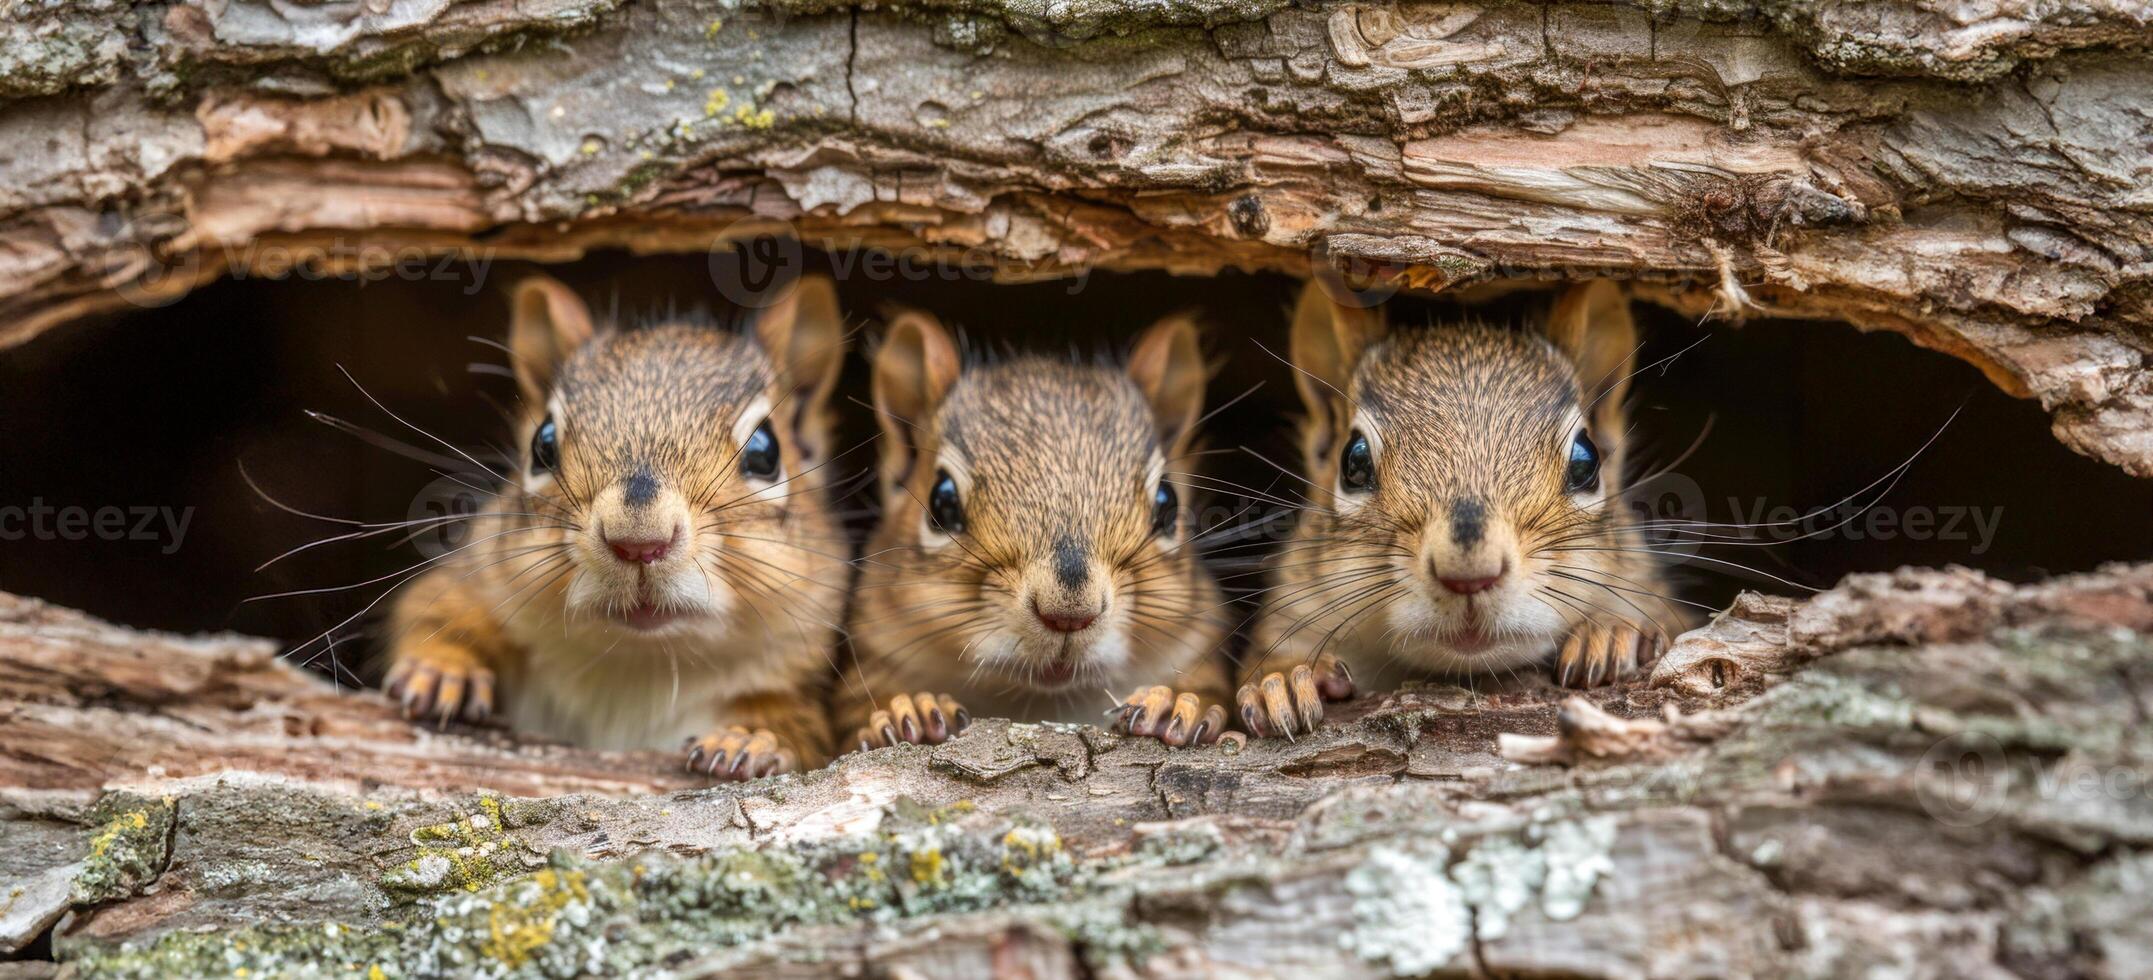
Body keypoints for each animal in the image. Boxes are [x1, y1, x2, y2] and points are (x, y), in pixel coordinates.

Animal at [383, 274, 852, 784]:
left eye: (767, 453)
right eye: (542, 444)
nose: (639, 542)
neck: (639, 668)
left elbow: (802, 731)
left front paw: (750, 738)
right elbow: (429, 608)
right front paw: (442, 670)